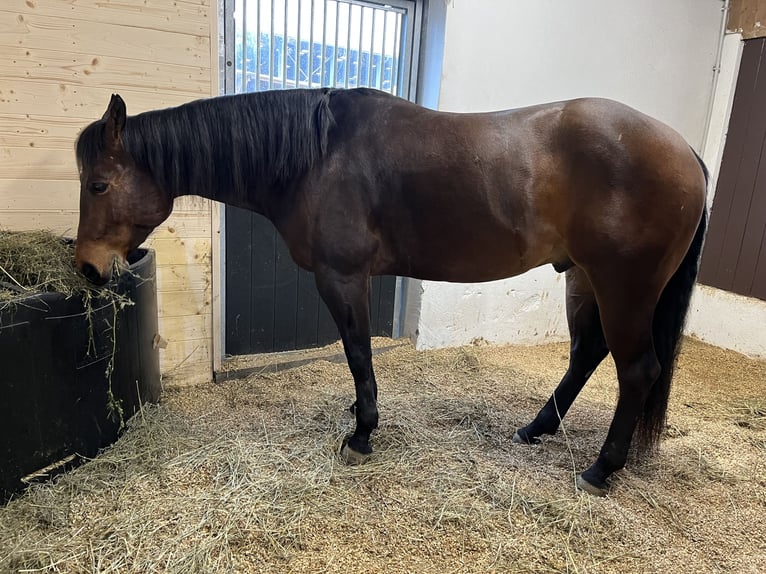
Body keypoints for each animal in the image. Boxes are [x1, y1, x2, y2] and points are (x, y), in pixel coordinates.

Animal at [75, 88, 712, 498]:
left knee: (637, 370)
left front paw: (361, 434)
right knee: (587, 354)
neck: (318, 156)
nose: (87, 268)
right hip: (583, 278)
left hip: (624, 287)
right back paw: (536, 430)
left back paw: (602, 470)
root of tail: (686, 152)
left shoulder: (342, 277)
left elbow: (358, 352)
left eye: (99, 184)